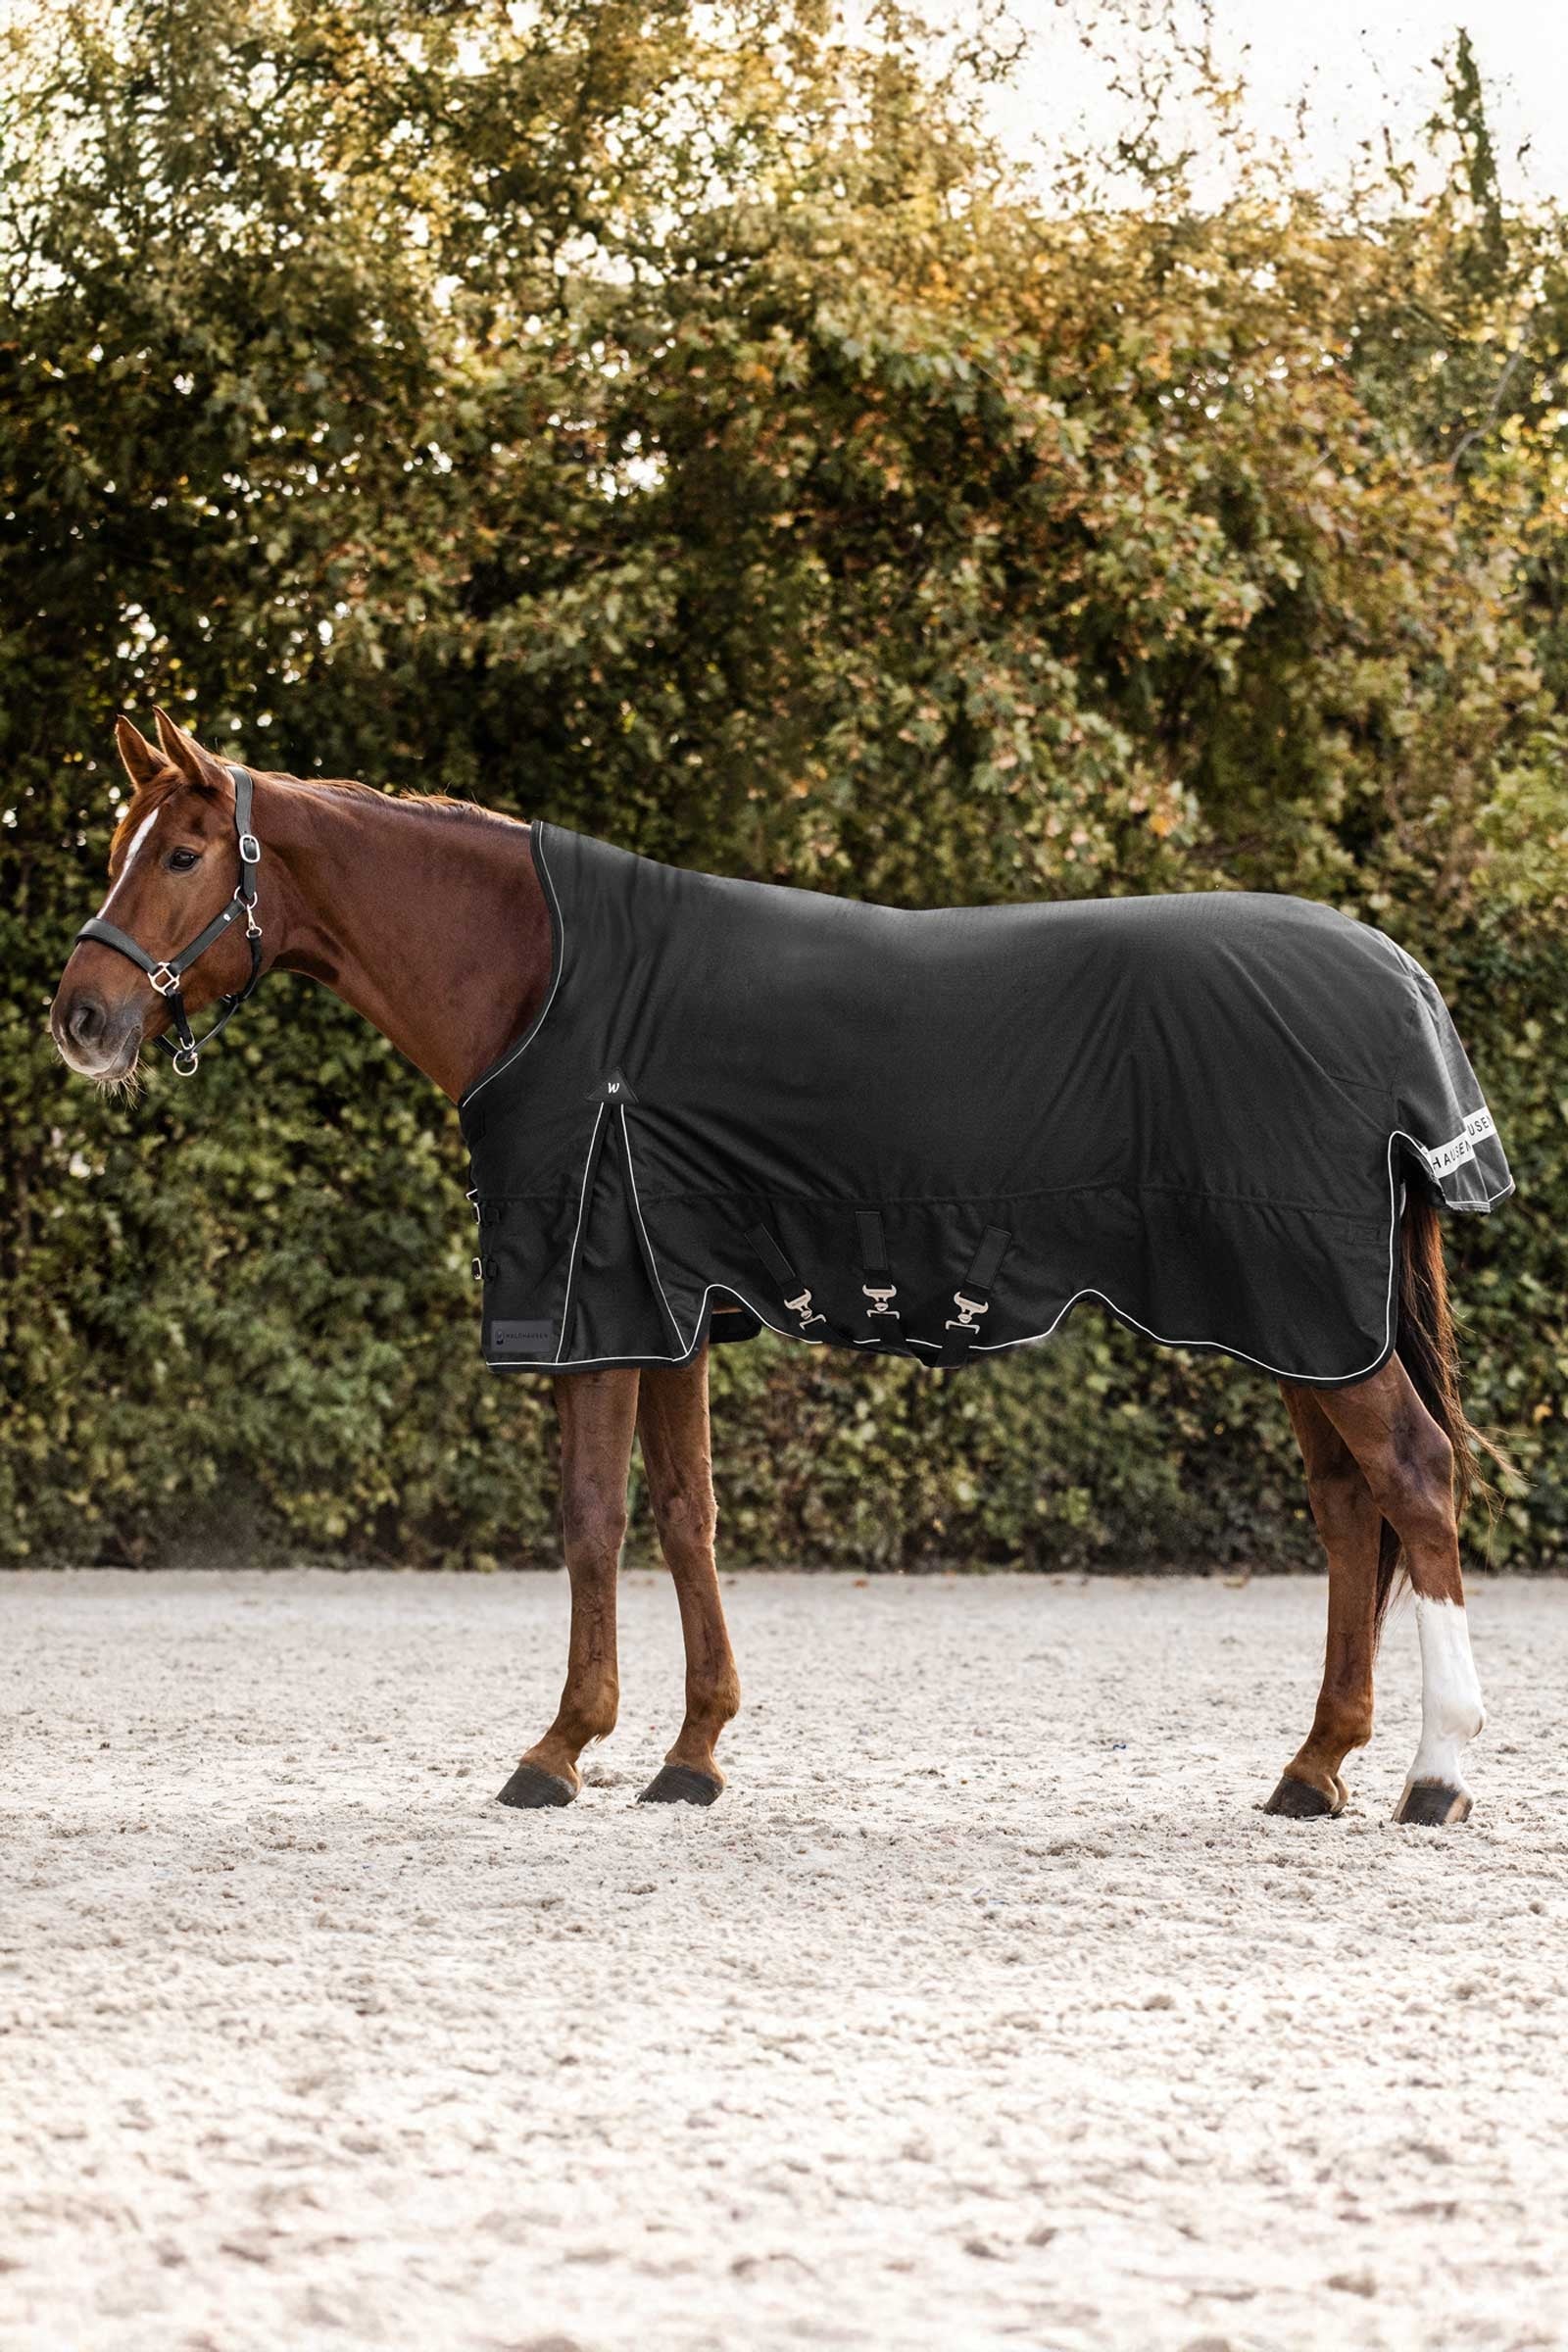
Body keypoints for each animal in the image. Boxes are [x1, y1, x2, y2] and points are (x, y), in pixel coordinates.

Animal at [50, 711, 1501, 1827]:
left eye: (182, 852)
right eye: (115, 850)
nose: (81, 1019)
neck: (547, 980)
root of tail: (1395, 978)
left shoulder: (595, 1305)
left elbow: (591, 1520)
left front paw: (558, 1750)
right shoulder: (672, 1314)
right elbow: (686, 1517)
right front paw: (690, 1756)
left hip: (1311, 1307)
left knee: (1413, 1478)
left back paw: (1433, 1775)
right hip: (1305, 1322)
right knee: (1347, 1508)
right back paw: (1315, 1768)